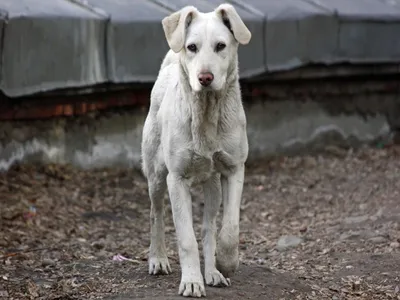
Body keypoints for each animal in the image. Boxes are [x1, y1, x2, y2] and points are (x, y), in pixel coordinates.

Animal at [141, 4, 250, 298]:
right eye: (192, 47)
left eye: (221, 45)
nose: (205, 77)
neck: (207, 114)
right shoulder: (176, 179)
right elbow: (186, 238)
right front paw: (191, 281)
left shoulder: (234, 169)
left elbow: (229, 228)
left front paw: (226, 263)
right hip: (156, 176)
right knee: (156, 214)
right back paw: (158, 259)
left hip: (212, 187)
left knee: (209, 227)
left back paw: (212, 272)